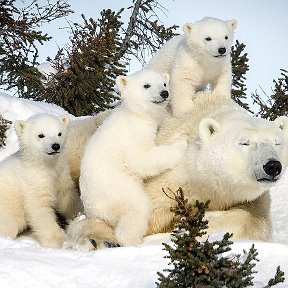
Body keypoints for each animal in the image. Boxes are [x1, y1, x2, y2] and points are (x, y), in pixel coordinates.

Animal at [0, 113, 81, 246]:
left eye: (59, 133)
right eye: (41, 135)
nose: (55, 146)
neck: (44, 165)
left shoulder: (60, 174)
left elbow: (67, 196)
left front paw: (80, 214)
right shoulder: (33, 183)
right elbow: (39, 209)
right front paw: (59, 239)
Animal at [63, 92, 288, 250]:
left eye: (277, 142)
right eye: (244, 142)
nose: (272, 166)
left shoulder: (247, 197)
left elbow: (256, 220)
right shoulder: (168, 180)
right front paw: (99, 238)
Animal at [77, 68, 188, 246]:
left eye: (164, 83)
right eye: (146, 85)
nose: (164, 93)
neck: (136, 114)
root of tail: (94, 212)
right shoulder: (132, 134)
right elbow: (141, 159)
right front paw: (181, 143)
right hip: (119, 189)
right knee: (137, 208)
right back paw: (133, 241)